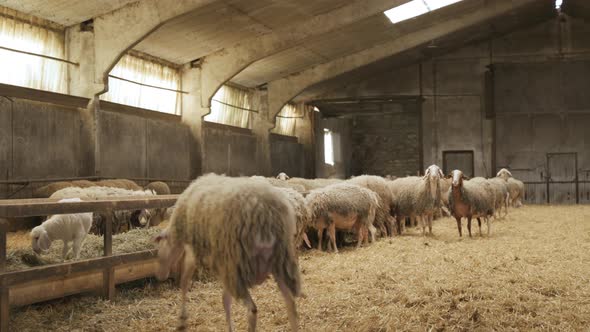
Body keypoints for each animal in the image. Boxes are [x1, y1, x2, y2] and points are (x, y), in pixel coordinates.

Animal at [154, 175, 300, 330]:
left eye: (158, 252)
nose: (160, 276)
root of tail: (266, 213)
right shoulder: (225, 264)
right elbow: (225, 300)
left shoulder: (196, 253)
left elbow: (185, 282)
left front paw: (182, 319)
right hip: (280, 263)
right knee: (291, 303)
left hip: (240, 265)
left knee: (252, 310)